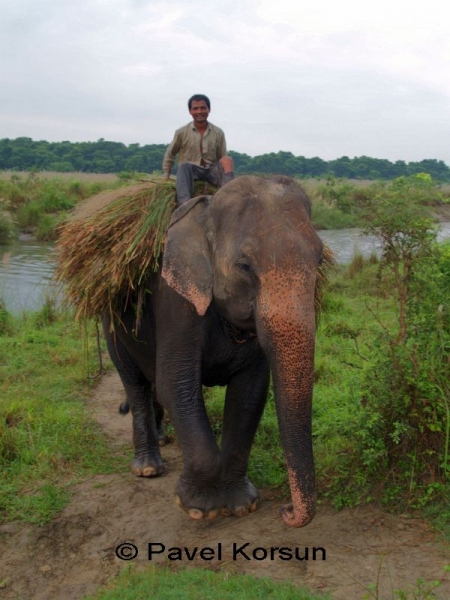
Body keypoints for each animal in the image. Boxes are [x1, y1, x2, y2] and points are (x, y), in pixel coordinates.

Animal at [103, 173, 324, 524]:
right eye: (245, 266)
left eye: (320, 259)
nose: (286, 510)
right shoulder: (175, 298)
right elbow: (176, 383)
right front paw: (198, 508)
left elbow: (250, 393)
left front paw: (242, 505)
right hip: (110, 320)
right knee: (135, 382)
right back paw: (148, 468)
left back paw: (163, 438)